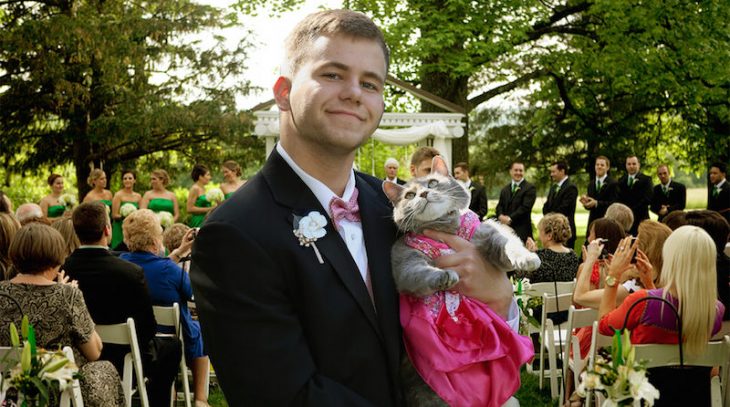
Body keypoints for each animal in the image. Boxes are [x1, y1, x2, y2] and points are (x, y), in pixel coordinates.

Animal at [384, 156, 536, 407]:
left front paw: (528, 257)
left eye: (433, 182)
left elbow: (507, 244)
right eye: (409, 195)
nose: (423, 193)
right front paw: (445, 276)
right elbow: (420, 272)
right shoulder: (404, 263)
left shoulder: (486, 231)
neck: (444, 227)